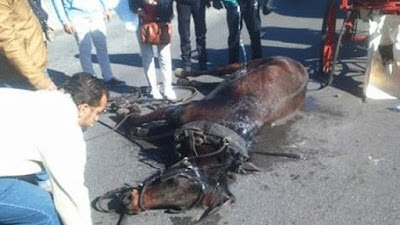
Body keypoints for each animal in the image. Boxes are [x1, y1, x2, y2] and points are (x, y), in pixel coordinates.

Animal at [97, 55, 310, 221]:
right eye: (173, 181)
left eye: (179, 207)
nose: (129, 203)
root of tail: (299, 66)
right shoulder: (178, 111)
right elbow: (136, 121)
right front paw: (126, 109)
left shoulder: (175, 126)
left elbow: (141, 131)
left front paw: (130, 113)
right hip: (250, 63)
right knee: (217, 69)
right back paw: (183, 73)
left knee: (210, 83)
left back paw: (186, 81)